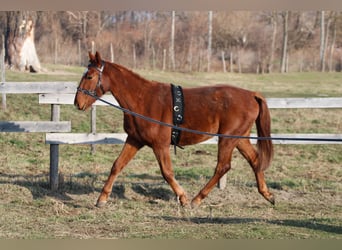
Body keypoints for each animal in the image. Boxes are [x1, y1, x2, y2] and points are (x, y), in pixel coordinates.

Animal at [73, 51, 274, 208]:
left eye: (89, 76)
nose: (77, 103)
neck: (143, 100)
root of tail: (251, 94)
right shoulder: (135, 140)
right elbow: (117, 166)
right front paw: (102, 198)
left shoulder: (160, 145)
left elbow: (167, 172)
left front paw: (183, 198)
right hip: (239, 138)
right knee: (255, 160)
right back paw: (267, 194)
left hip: (228, 138)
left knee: (222, 166)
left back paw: (197, 199)